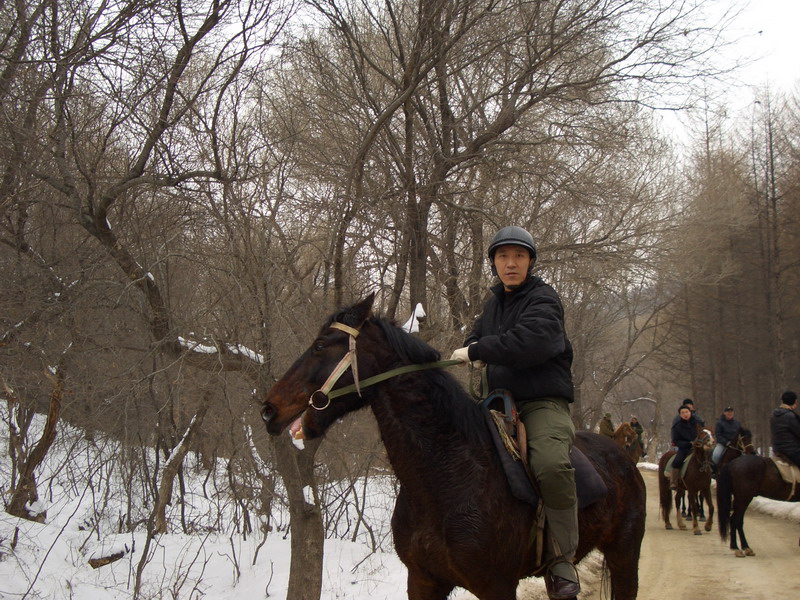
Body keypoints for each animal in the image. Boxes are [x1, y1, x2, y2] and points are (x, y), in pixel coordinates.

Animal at [260, 296, 648, 600]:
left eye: (321, 345)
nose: (269, 409)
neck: (446, 472)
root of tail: (623, 459)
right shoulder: (423, 581)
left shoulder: (497, 587)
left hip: (624, 555)